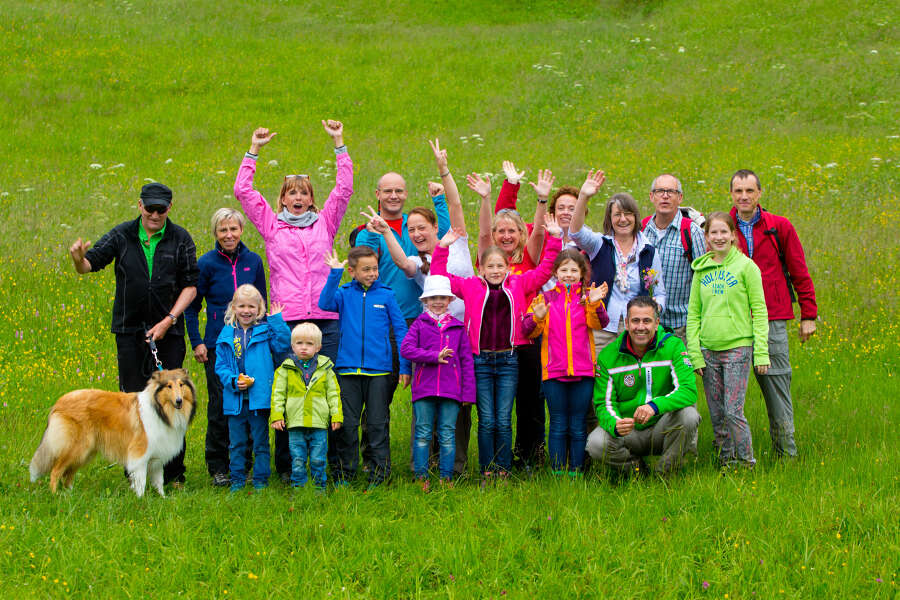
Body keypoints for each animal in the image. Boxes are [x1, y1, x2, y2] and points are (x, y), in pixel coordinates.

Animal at [29, 370, 195, 496]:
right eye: (168, 386)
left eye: (181, 384)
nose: (179, 401)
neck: (160, 410)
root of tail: (58, 402)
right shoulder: (140, 454)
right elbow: (141, 481)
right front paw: (140, 500)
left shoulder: (157, 457)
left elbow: (159, 481)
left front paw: (162, 498)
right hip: (76, 447)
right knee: (56, 471)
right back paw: (55, 495)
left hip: (84, 452)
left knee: (68, 474)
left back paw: (70, 495)